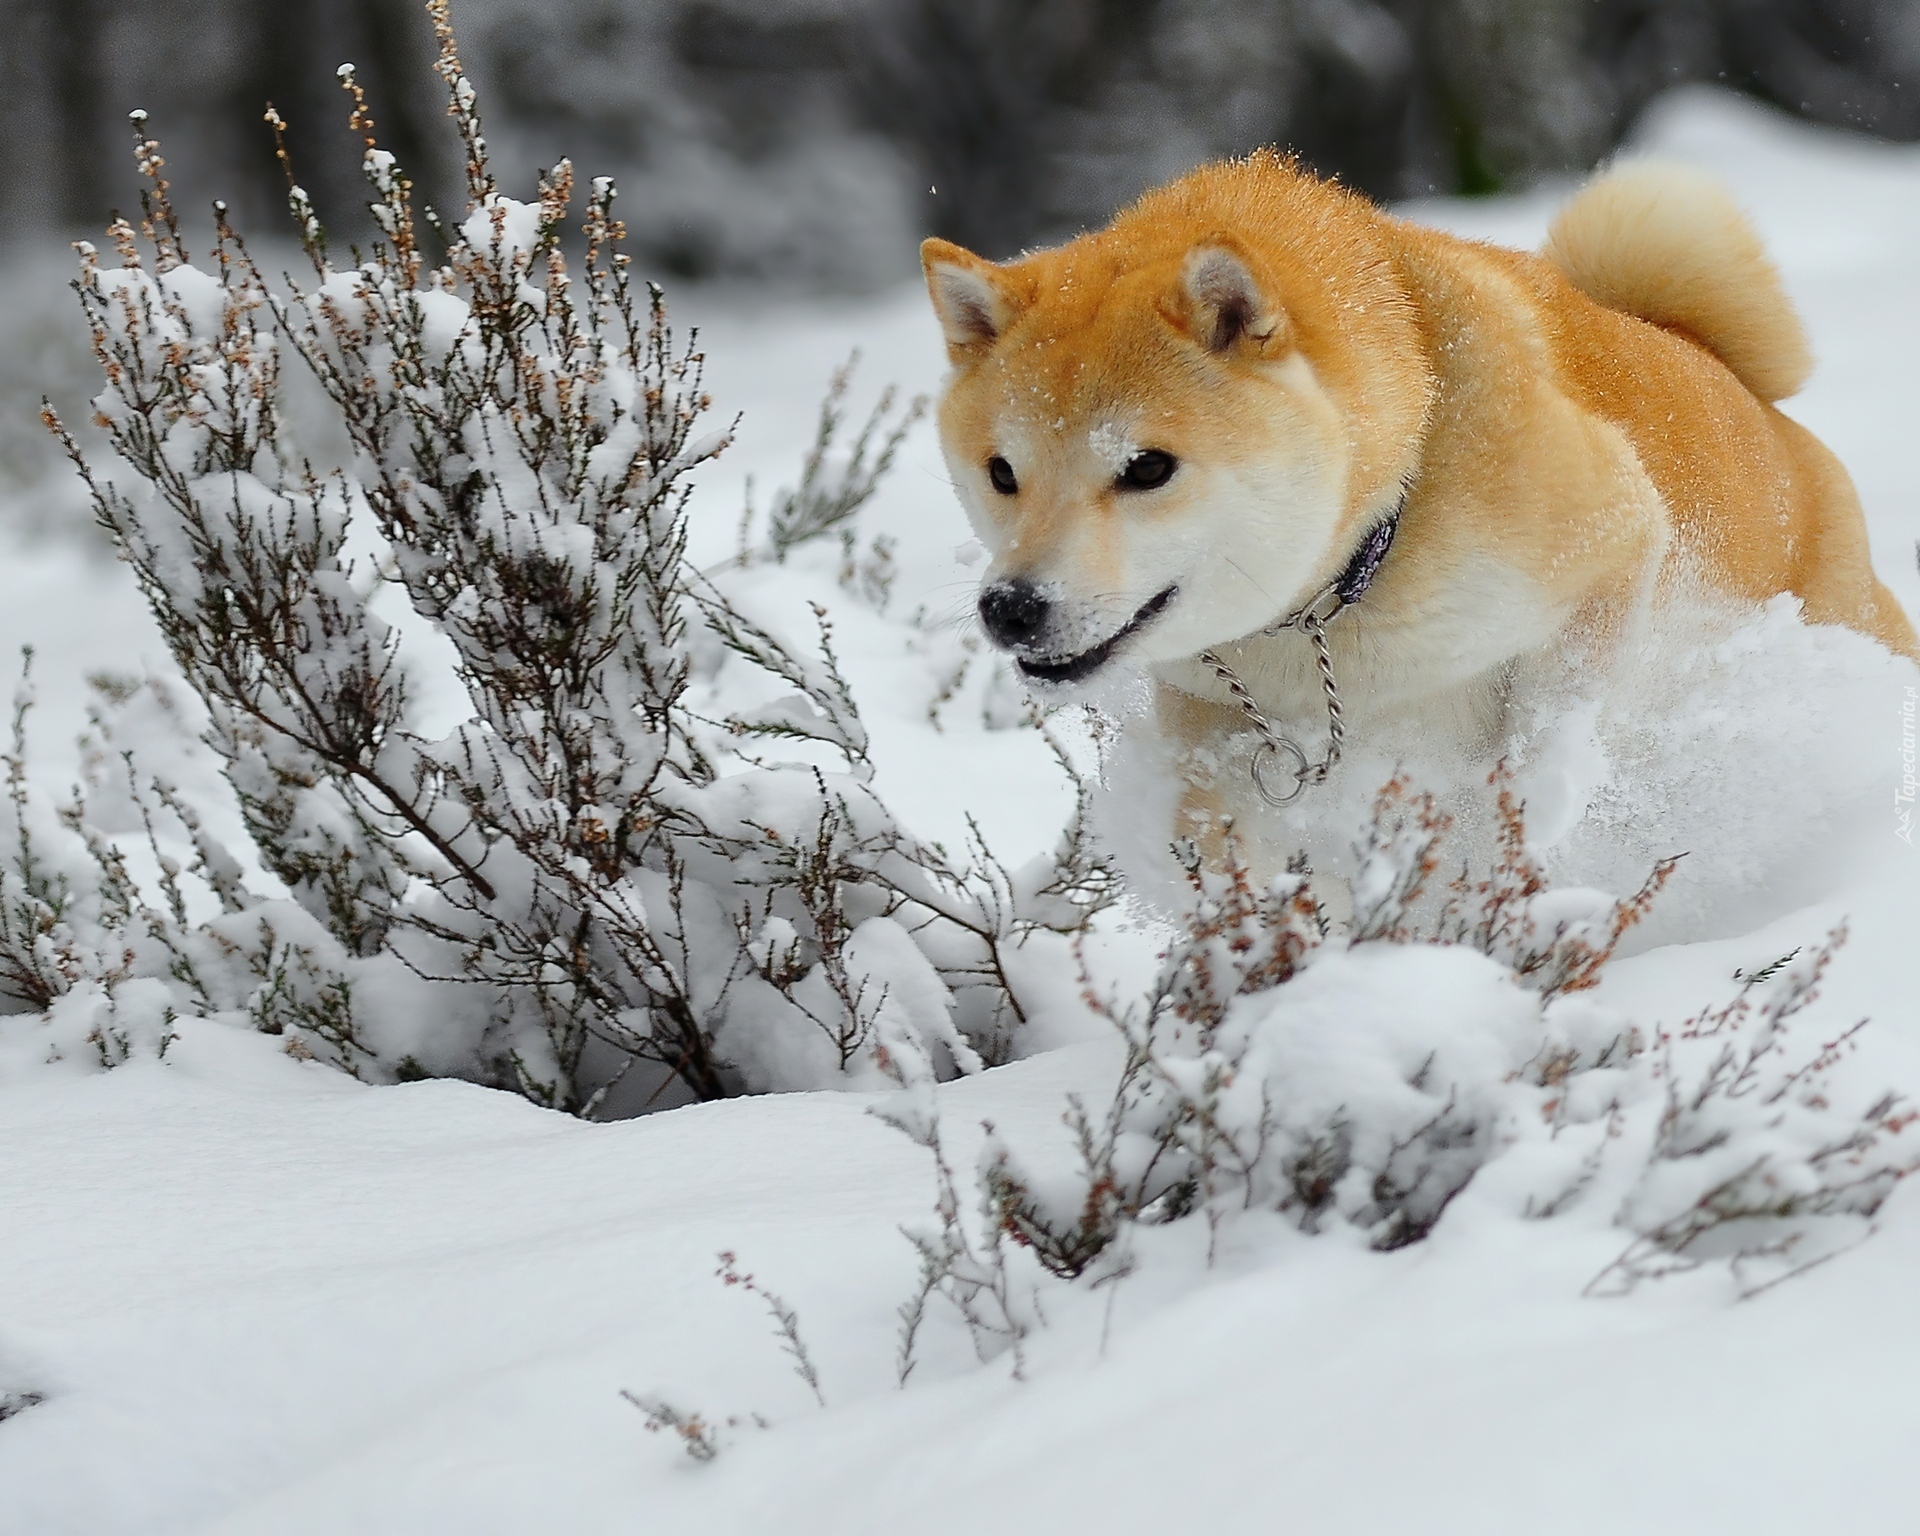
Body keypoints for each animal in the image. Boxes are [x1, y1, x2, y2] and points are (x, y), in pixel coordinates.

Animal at [921, 157, 1912, 875]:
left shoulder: (1615, 538)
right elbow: (1217, 833)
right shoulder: (1212, 709)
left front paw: (1530, 814)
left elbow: (1546, 723)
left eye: (1148, 468)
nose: (1011, 608)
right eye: (1002, 472)